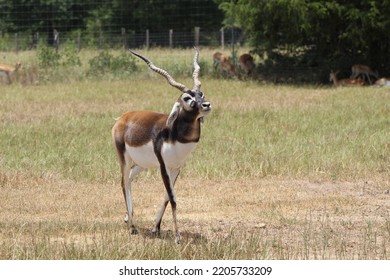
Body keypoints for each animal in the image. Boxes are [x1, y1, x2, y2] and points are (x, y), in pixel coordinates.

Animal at [111, 47, 212, 243]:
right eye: (187, 98)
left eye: (201, 93)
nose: (206, 105)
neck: (175, 136)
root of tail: (122, 118)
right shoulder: (164, 166)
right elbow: (173, 198)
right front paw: (178, 237)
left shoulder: (177, 167)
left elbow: (167, 196)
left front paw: (155, 228)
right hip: (124, 158)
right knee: (123, 182)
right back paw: (133, 227)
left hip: (142, 164)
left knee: (129, 179)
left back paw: (128, 218)